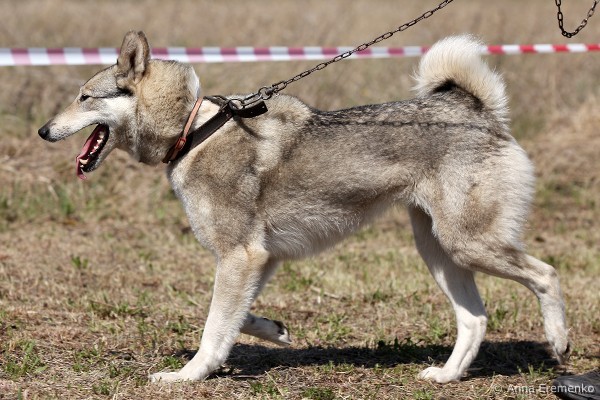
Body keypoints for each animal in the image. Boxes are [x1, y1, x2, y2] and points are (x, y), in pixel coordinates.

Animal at [38, 31, 570, 383]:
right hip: (439, 251)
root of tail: (478, 111)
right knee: (475, 319)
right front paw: (274, 331)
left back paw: (559, 342)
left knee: (546, 274)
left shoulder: (241, 257)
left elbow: (212, 329)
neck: (193, 131)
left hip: (468, 245)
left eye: (84, 97)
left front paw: (188, 376)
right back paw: (446, 377)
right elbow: (237, 319)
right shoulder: (258, 259)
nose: (43, 130)